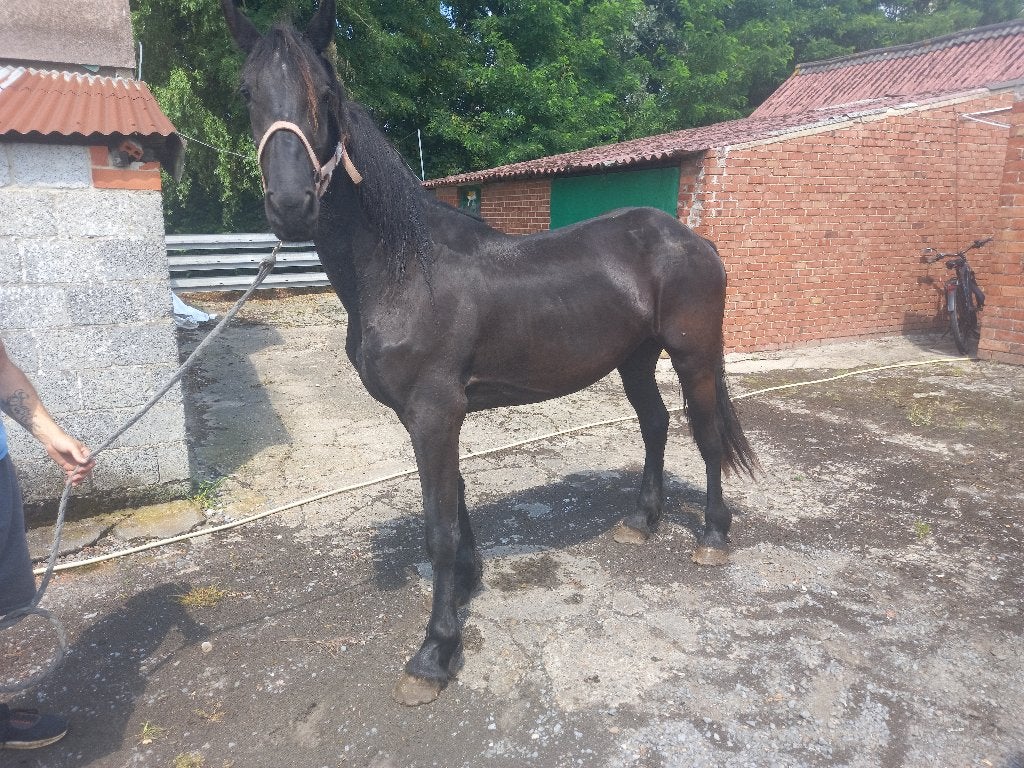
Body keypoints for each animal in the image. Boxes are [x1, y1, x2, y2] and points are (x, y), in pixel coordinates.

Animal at [221, 0, 757, 706]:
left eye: (326, 95)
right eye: (247, 91)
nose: (290, 204)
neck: (401, 267)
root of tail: (693, 238)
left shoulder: (434, 411)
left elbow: (438, 528)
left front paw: (435, 652)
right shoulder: (427, 416)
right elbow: (454, 502)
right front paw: (469, 584)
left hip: (692, 356)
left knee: (705, 433)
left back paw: (714, 536)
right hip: (634, 358)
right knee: (656, 425)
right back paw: (642, 520)